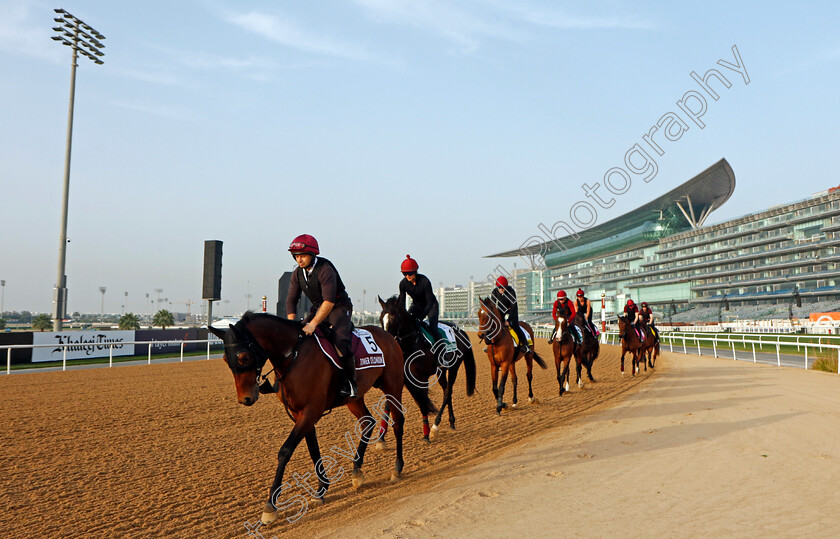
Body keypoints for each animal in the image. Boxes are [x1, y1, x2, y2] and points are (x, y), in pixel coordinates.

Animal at [209, 312, 430, 528]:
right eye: (225, 359)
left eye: (243, 357)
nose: (245, 399)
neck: (294, 356)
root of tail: (389, 336)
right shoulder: (301, 414)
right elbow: (313, 448)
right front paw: (321, 489)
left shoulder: (310, 411)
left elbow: (285, 451)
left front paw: (270, 508)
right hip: (354, 398)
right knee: (368, 422)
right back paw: (357, 471)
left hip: (393, 386)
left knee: (398, 422)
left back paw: (397, 468)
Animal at [378, 296, 476, 442]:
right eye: (381, 319)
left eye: (394, 318)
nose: (387, 342)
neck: (411, 344)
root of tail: (461, 330)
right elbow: (389, 404)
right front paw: (381, 438)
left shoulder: (421, 378)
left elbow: (423, 403)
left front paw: (426, 434)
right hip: (441, 371)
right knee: (447, 391)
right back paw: (451, 422)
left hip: (454, 367)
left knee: (448, 392)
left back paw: (435, 426)